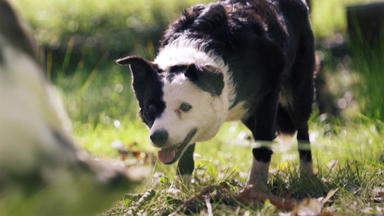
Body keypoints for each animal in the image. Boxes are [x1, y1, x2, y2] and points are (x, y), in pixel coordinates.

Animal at [117, 0, 316, 191]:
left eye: (185, 107)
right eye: (150, 110)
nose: (158, 137)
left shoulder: (269, 92)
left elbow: (262, 143)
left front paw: (255, 188)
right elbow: (186, 152)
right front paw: (181, 190)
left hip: (298, 91)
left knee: (301, 128)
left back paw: (307, 177)